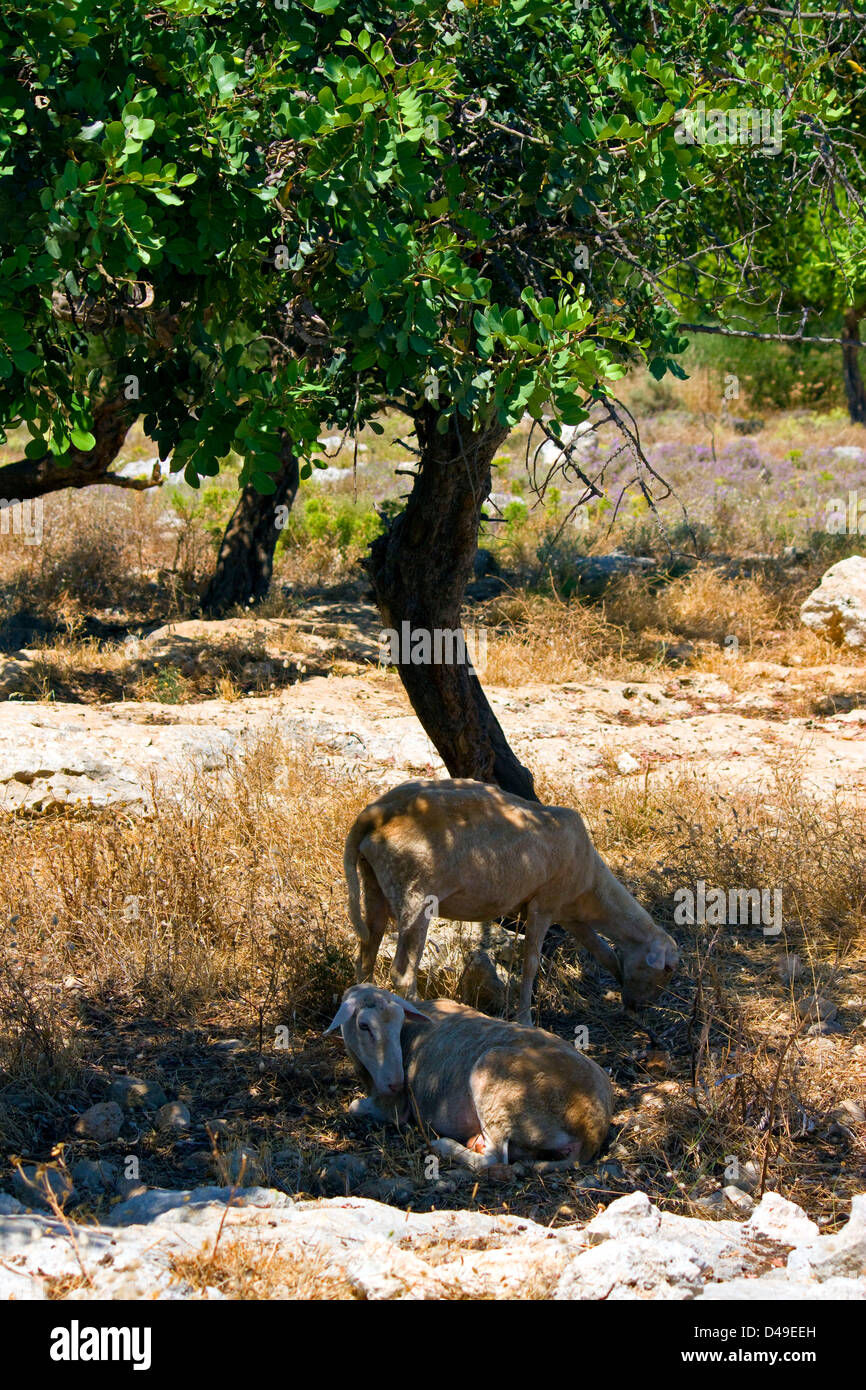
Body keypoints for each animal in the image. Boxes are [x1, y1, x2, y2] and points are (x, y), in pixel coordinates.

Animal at [325, 984, 613, 1171]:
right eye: (364, 1026)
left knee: (494, 1159)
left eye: (397, 1025)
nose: (396, 1083)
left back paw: (445, 1146)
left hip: (495, 1089)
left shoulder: (391, 1108)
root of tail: (592, 1126)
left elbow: (355, 1107)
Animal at [344, 777, 677, 1024]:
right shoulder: (545, 903)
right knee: (402, 973)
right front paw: (525, 1018)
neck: (592, 884)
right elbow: (531, 964)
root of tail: (372, 815)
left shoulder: (570, 914)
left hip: (374, 882)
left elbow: (604, 953)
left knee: (366, 954)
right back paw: (430, 1015)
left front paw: (618, 981)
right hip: (414, 892)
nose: (638, 1008)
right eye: (667, 971)